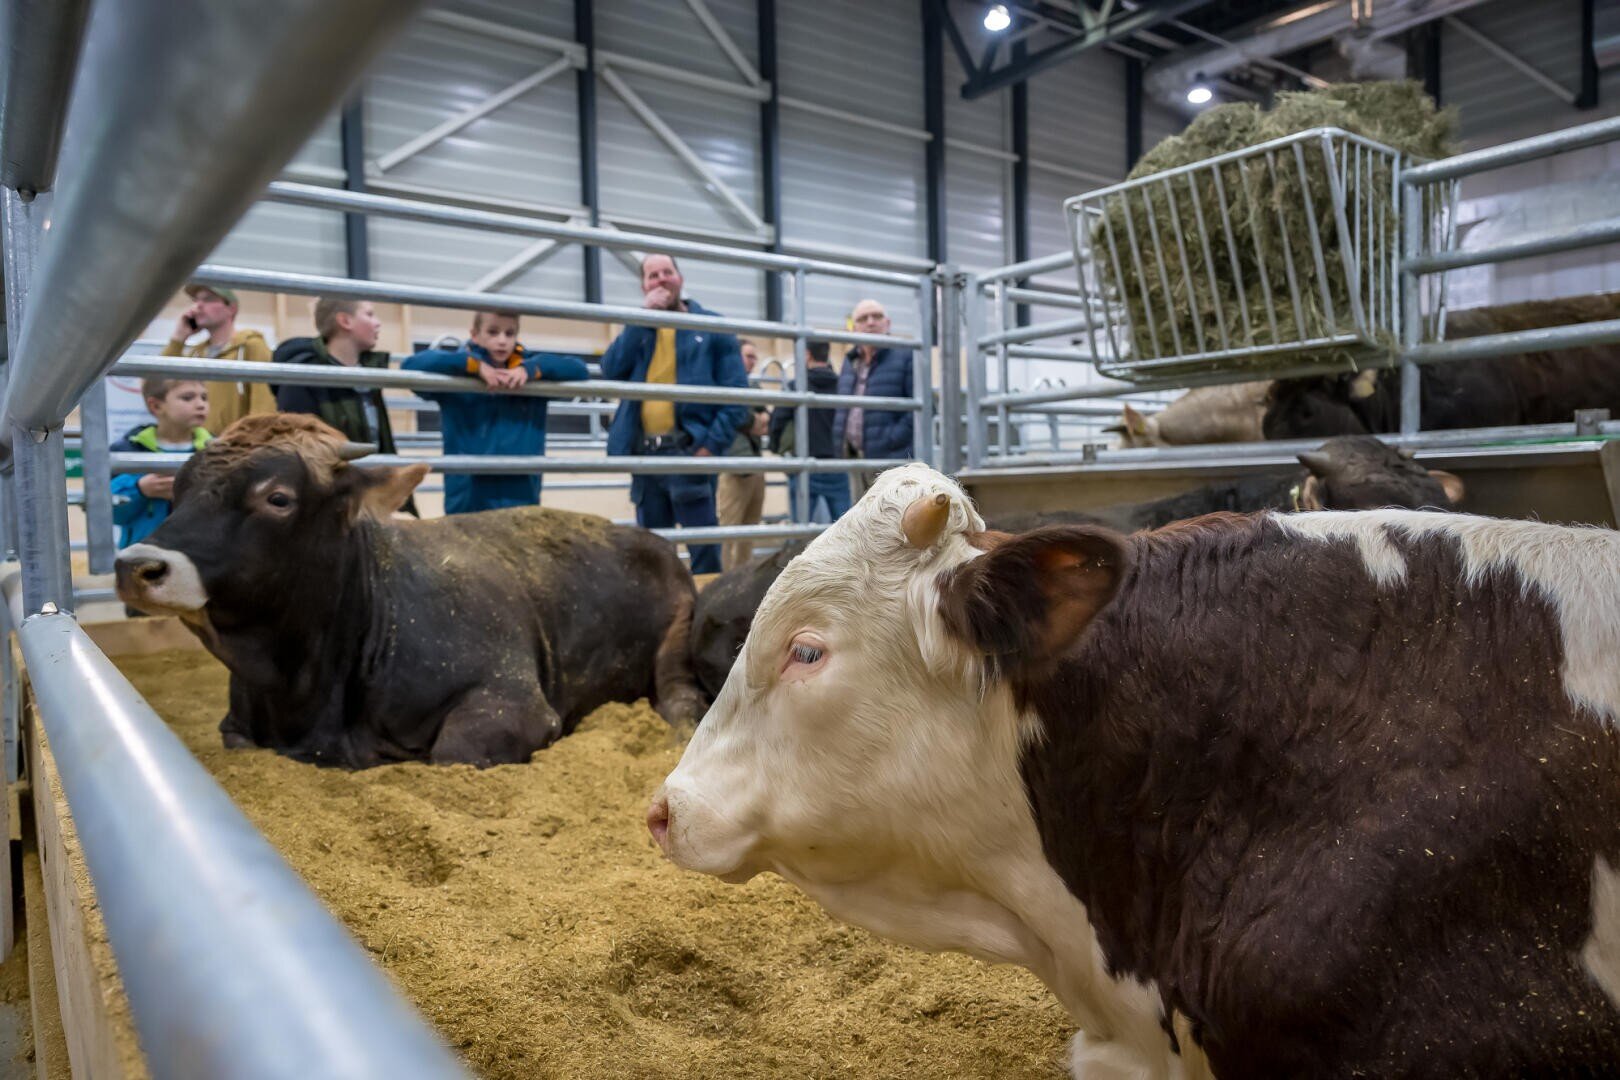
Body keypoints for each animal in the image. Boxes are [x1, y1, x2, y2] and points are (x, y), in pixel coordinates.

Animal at [115, 414, 704, 768]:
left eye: (277, 498)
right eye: (178, 489)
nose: (136, 566)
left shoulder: (512, 702)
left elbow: (453, 753)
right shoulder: (237, 723)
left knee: (680, 699)